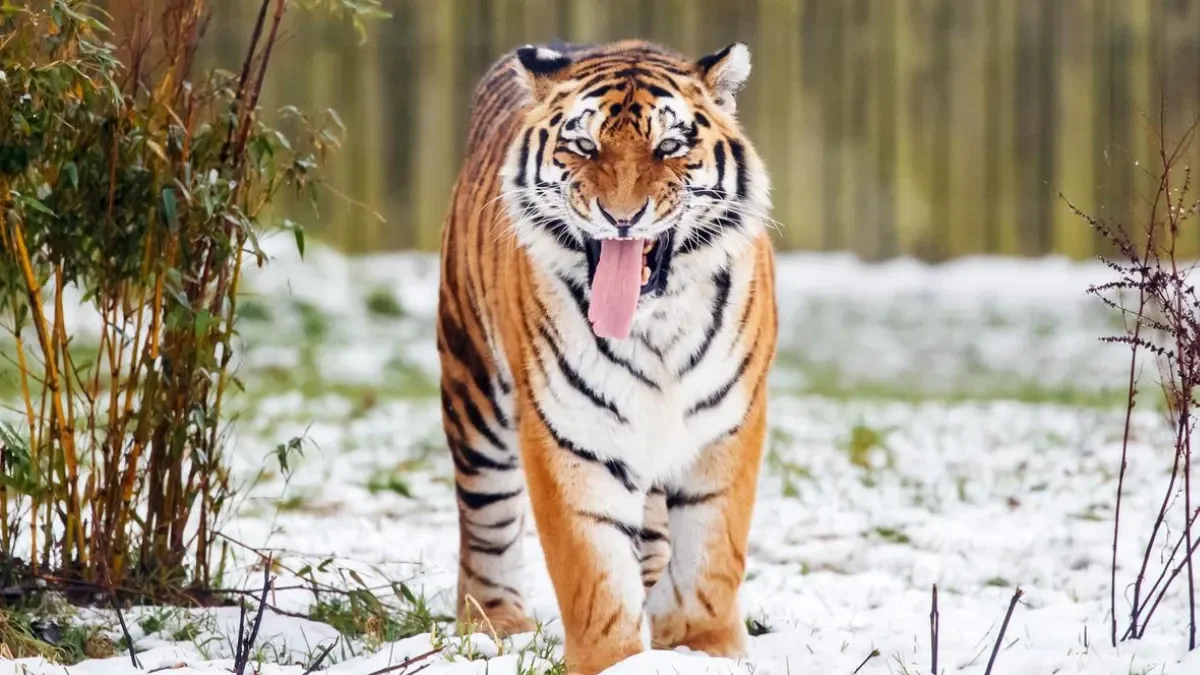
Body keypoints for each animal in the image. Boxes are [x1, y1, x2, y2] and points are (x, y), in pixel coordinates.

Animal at [436, 38, 777, 675]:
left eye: (669, 146)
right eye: (583, 145)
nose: (622, 217)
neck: (655, 326)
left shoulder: (727, 424)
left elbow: (712, 554)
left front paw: (704, 645)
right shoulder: (571, 433)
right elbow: (594, 571)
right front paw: (615, 661)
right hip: (474, 390)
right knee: (486, 518)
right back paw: (495, 624)